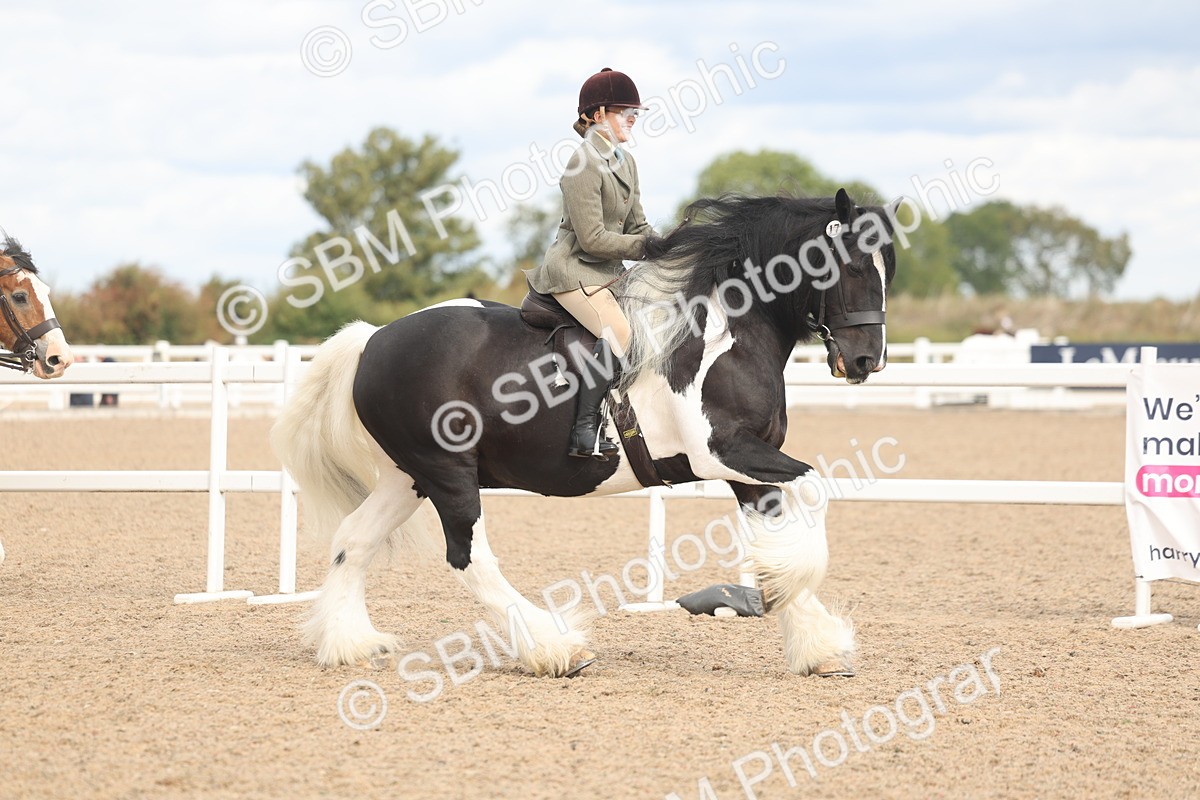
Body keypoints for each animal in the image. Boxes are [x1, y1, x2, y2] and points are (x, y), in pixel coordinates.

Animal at [272, 189, 899, 678]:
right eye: (850, 266)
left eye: (886, 270)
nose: (866, 361)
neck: (727, 330)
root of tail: (372, 339)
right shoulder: (724, 452)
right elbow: (815, 494)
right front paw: (794, 604)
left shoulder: (749, 465)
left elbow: (780, 532)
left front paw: (814, 643)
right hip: (447, 474)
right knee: (469, 558)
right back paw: (554, 649)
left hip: (409, 477)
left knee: (354, 540)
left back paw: (348, 644)